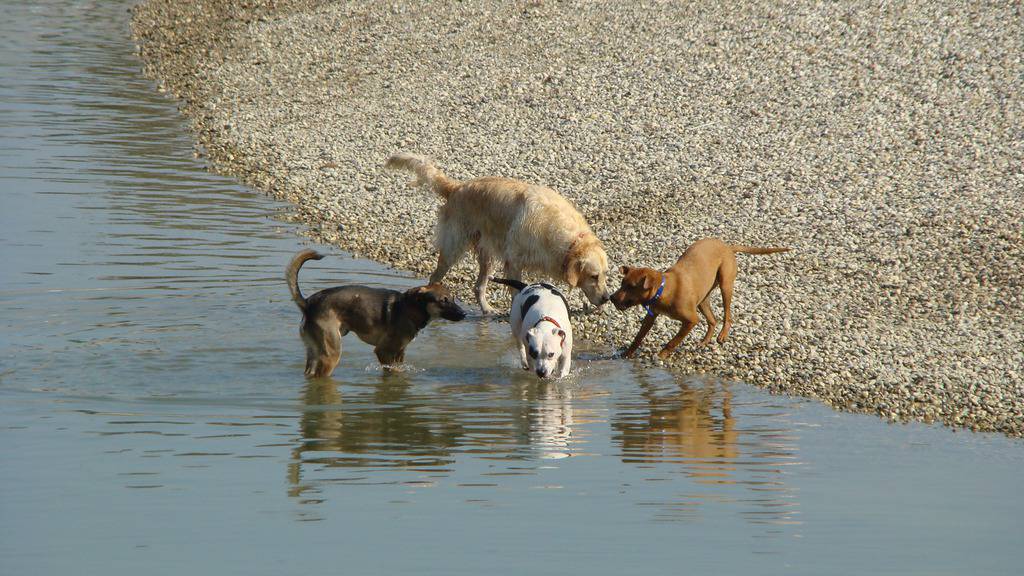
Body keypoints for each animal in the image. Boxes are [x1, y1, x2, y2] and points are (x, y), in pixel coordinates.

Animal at [286, 248, 466, 377]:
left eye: (453, 299)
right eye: (443, 301)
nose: (464, 314)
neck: (411, 309)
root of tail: (307, 303)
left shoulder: (399, 352)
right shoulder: (383, 351)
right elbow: (393, 372)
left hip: (314, 352)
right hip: (331, 353)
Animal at [382, 152, 606, 313]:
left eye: (604, 275)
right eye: (594, 276)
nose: (606, 298)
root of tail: (457, 187)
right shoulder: (514, 262)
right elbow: (517, 292)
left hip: (486, 252)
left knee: (478, 286)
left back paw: (487, 309)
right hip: (454, 247)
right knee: (435, 277)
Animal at [610, 237, 786, 358]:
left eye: (631, 286)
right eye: (622, 283)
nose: (611, 297)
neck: (663, 289)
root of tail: (727, 246)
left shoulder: (691, 320)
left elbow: (673, 341)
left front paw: (662, 355)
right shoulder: (651, 316)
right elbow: (638, 337)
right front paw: (627, 353)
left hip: (725, 285)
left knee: (727, 316)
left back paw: (723, 335)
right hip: (703, 299)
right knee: (712, 320)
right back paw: (705, 341)